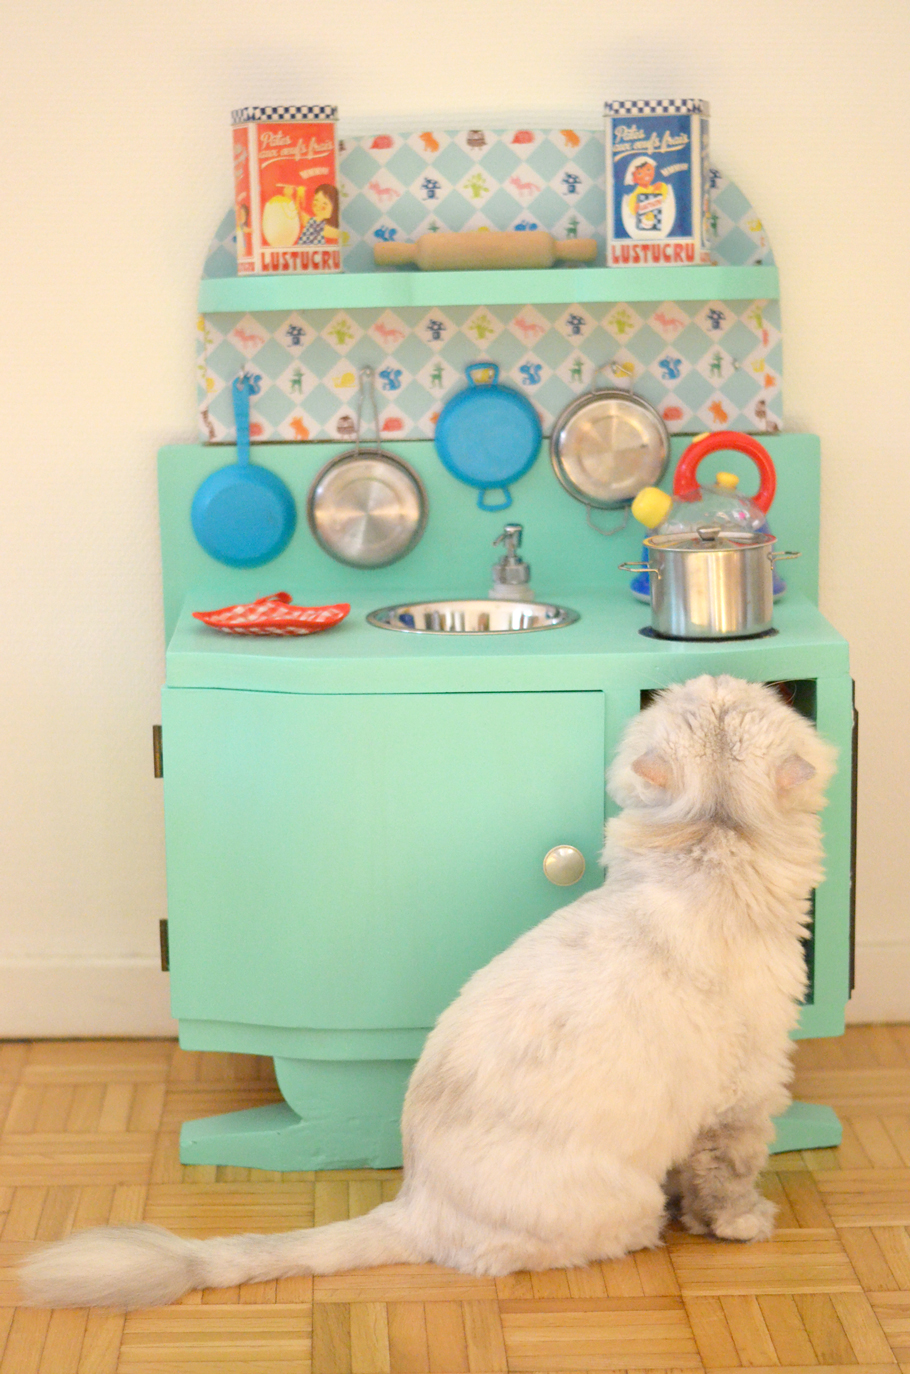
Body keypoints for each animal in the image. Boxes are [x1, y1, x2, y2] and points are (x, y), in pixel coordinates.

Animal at [21, 676, 835, 1308]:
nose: (716, 673)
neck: (710, 841)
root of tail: (415, 1204)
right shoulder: (747, 1092)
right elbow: (728, 1180)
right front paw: (742, 1225)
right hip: (612, 1200)